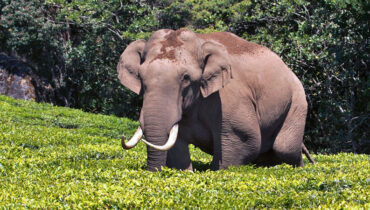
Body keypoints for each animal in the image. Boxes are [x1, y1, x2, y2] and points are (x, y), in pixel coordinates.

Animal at [117, 29, 314, 171]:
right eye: (141, 77)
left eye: (186, 78)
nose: (154, 173)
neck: (200, 42)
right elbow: (176, 145)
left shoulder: (230, 98)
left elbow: (245, 139)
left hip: (297, 101)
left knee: (284, 148)